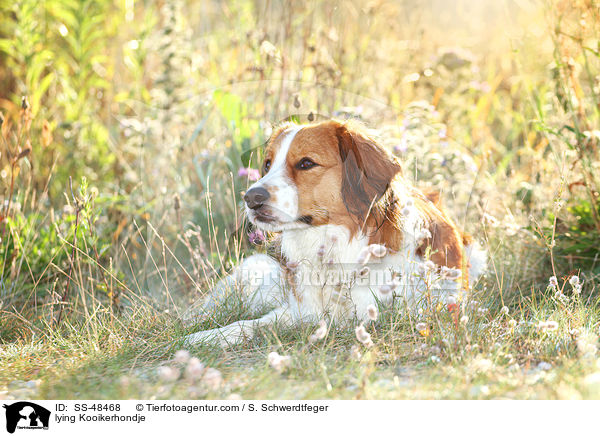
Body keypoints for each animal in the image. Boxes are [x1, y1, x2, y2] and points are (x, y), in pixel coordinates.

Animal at [184, 119, 488, 348]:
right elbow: (248, 324)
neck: (331, 244)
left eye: (306, 163)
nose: (250, 198)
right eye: (268, 164)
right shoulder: (300, 309)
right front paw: (207, 337)